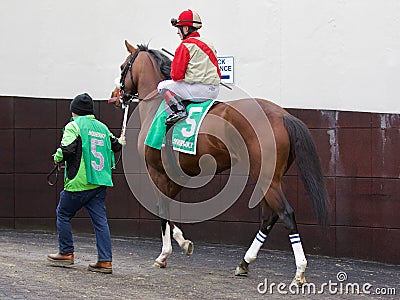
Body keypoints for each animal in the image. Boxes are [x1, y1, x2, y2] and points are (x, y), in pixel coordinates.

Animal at [110, 40, 328, 286]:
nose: (117, 95)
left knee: (286, 214)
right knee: (269, 216)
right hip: (268, 177)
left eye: (123, 67)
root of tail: (282, 115)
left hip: (266, 177)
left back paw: (299, 271)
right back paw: (244, 262)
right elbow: (169, 208)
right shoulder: (178, 175)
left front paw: (164, 254)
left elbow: (162, 208)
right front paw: (183, 243)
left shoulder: (157, 171)